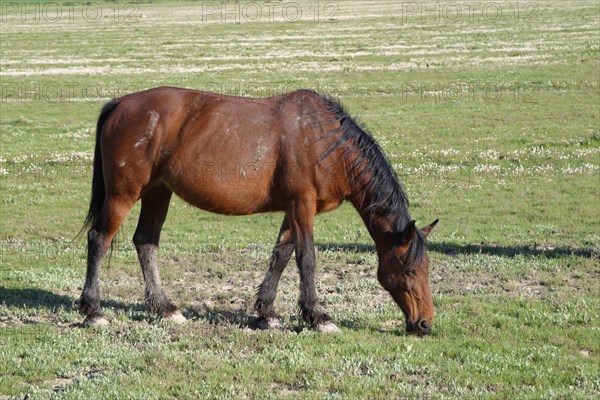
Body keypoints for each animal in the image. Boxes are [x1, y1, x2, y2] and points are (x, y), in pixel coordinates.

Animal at [79, 86, 438, 334]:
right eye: (410, 270)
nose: (425, 324)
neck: (326, 143)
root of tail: (121, 103)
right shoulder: (302, 205)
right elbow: (306, 259)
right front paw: (317, 317)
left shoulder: (294, 209)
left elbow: (281, 256)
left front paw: (267, 314)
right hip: (124, 194)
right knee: (99, 239)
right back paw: (93, 311)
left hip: (157, 193)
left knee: (145, 242)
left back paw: (165, 307)